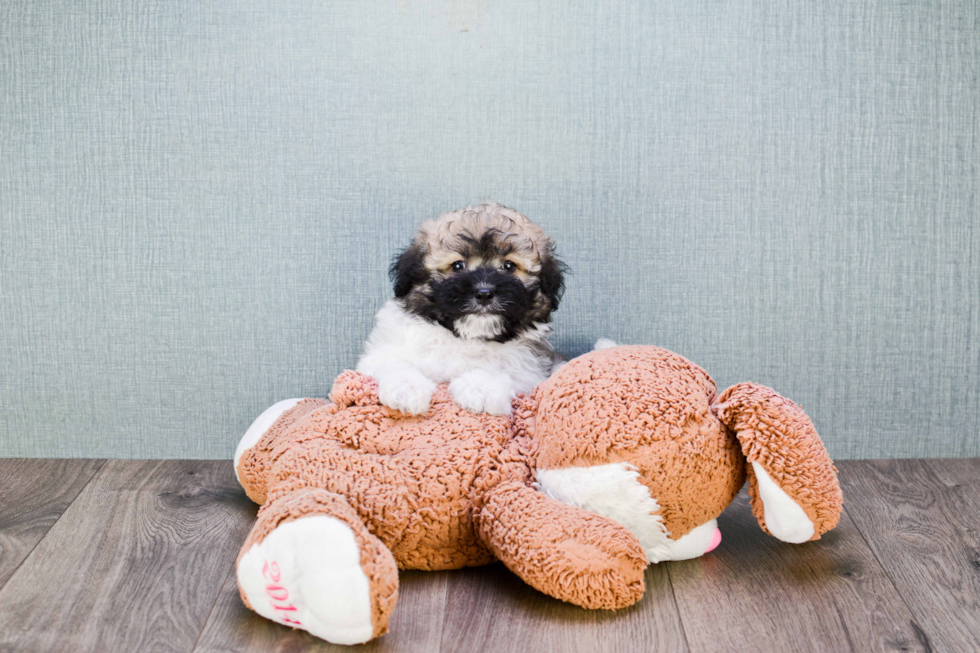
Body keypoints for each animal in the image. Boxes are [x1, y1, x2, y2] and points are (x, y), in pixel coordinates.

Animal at [356, 202, 564, 418]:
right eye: (457, 265)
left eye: (509, 266)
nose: (484, 293)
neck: (467, 338)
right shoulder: (382, 352)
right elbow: (394, 361)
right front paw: (406, 388)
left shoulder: (529, 370)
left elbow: (501, 371)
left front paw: (481, 388)